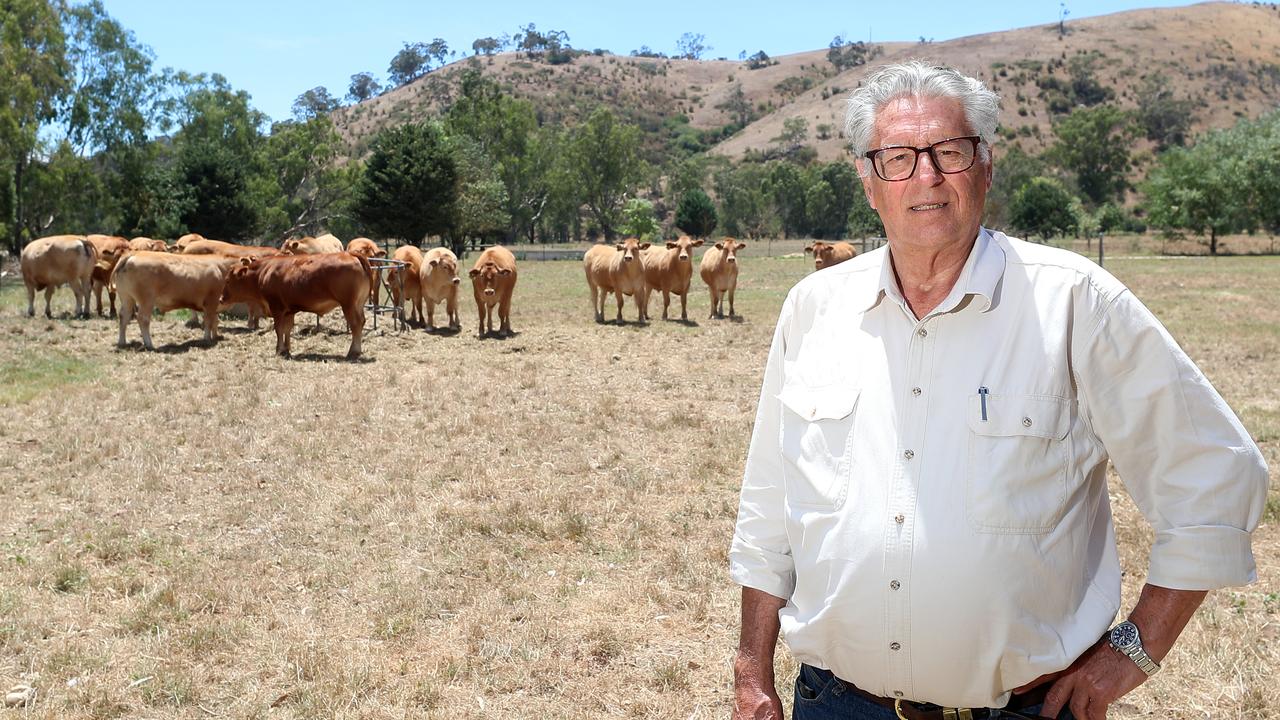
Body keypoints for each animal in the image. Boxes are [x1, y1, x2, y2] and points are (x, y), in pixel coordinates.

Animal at [220, 251, 368, 356]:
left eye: (227, 280)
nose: (221, 299)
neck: (264, 272)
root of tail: (350, 254)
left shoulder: (277, 307)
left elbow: (279, 329)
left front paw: (278, 350)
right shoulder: (288, 310)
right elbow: (287, 329)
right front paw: (286, 349)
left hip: (348, 305)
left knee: (355, 324)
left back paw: (353, 351)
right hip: (358, 304)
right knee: (361, 322)